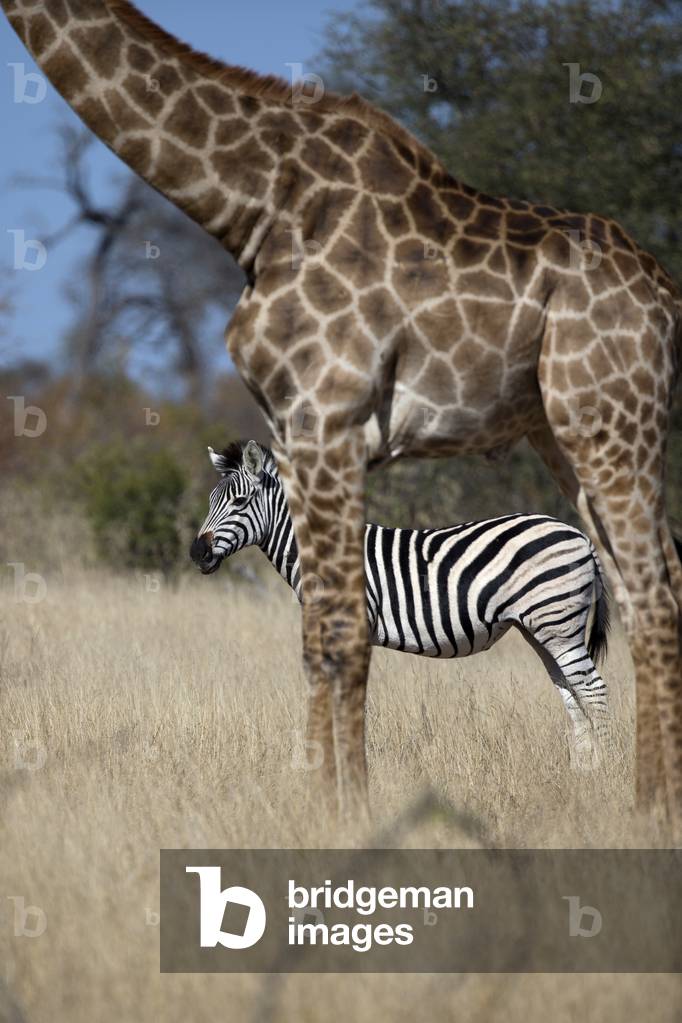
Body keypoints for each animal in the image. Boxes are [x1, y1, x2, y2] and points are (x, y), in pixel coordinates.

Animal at [191, 440, 610, 767]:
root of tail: (580, 536)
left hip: (558, 623)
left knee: (593, 691)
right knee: (572, 695)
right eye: (210, 501)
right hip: (540, 630)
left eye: (240, 502)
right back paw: (581, 772)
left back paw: (605, 772)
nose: (197, 553)